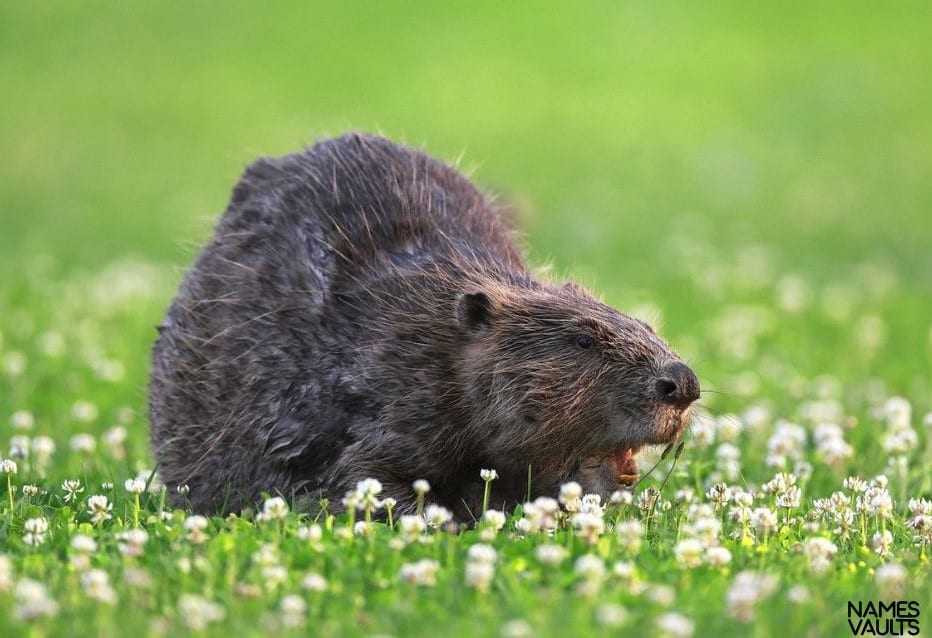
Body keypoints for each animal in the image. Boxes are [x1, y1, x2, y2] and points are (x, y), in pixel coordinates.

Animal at [147, 132, 700, 516]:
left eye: (647, 326)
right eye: (583, 338)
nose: (683, 384)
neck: (433, 336)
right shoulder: (383, 398)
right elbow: (361, 478)